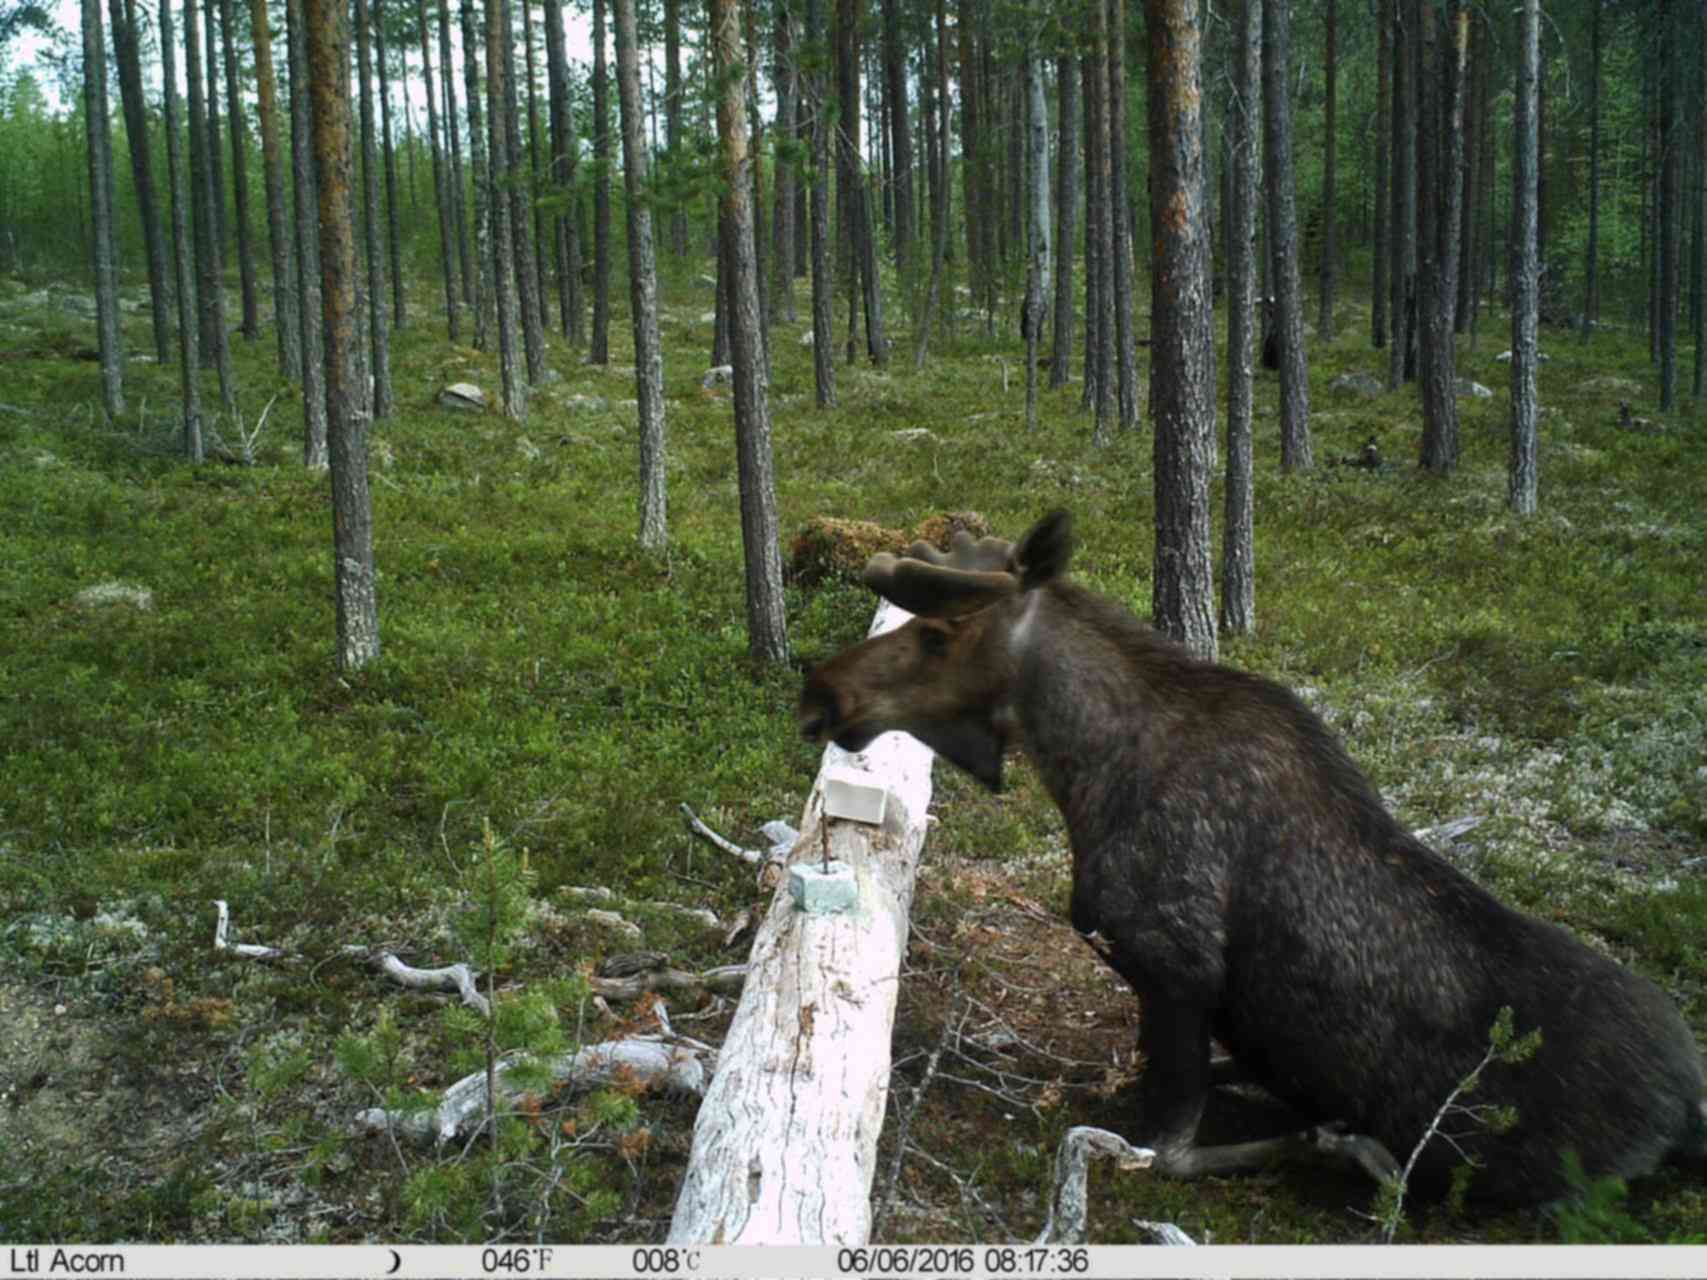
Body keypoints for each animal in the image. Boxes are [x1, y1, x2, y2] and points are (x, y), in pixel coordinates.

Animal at [802, 508, 1707, 1201]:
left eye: (938, 632)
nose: (820, 692)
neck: (1084, 773)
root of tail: (1687, 1109)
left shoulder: (1177, 964)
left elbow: (1162, 1151)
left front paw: (1334, 1144)